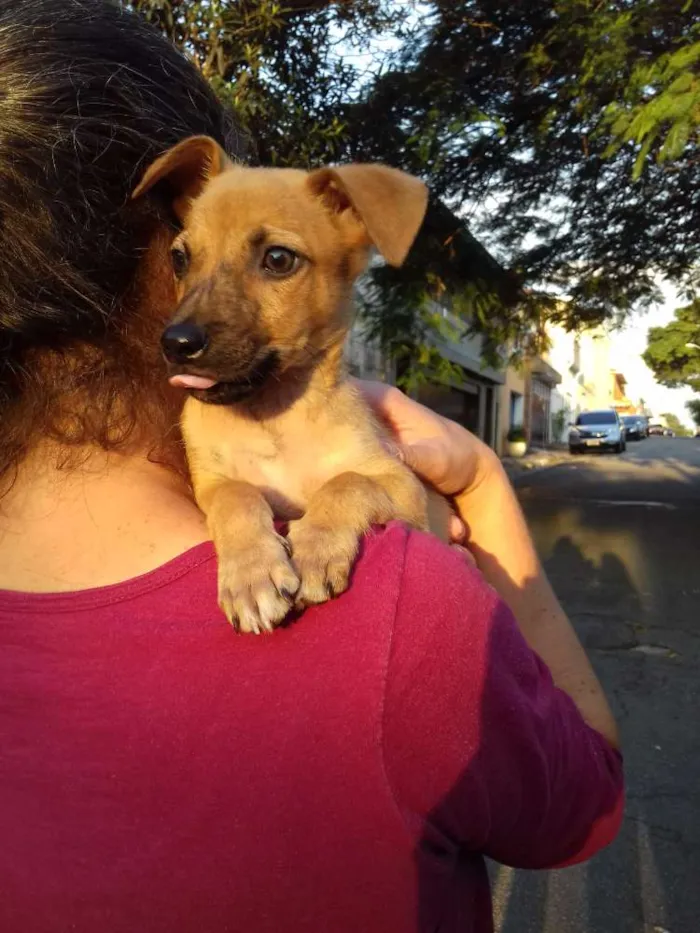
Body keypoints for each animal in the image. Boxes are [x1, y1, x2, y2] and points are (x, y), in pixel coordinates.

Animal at [133, 137, 448, 632]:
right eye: (179, 258)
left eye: (279, 259)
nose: (176, 343)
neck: (272, 418)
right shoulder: (210, 483)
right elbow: (238, 495)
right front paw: (252, 573)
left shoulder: (405, 488)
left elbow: (347, 482)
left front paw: (315, 546)